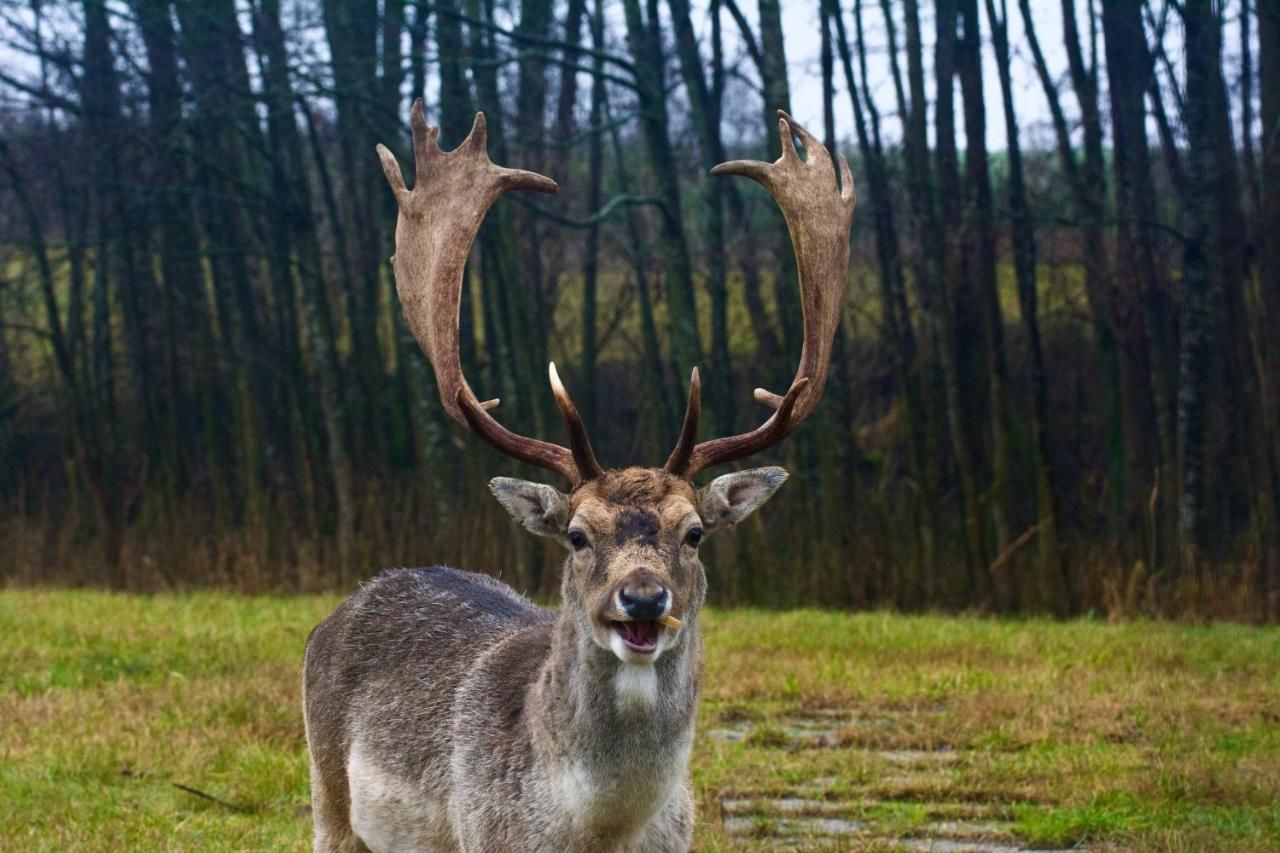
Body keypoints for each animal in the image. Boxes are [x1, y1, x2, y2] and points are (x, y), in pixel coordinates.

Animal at [303, 101, 855, 850]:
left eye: (695, 533)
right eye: (576, 535)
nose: (643, 597)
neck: (597, 829)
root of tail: (340, 610)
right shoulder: (482, 836)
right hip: (328, 801)